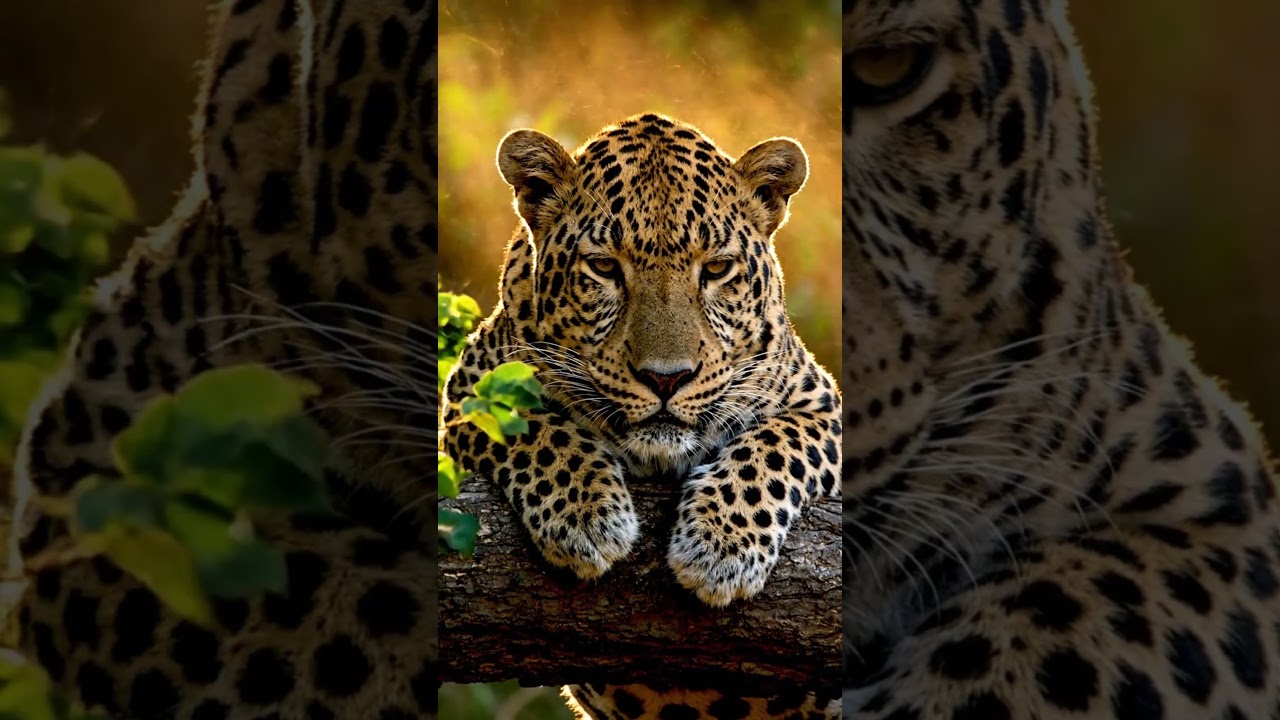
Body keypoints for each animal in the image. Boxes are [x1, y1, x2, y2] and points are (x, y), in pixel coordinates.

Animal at [439, 113, 843, 718]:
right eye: (604, 267)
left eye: (717, 269)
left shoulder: (825, 408)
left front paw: (720, 544)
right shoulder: (468, 392)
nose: (666, 378)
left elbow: (778, 444)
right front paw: (584, 514)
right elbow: (530, 426)